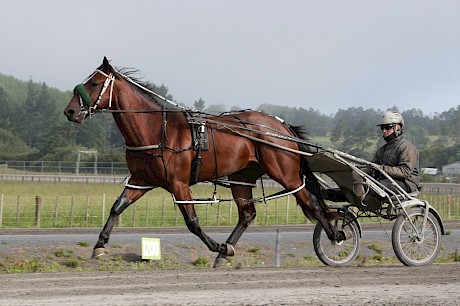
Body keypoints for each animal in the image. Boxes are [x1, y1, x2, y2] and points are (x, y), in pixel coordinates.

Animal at [64, 57, 344, 268]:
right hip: (241, 177)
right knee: (247, 214)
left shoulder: (179, 183)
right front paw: (99, 246)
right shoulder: (140, 180)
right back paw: (225, 252)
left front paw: (216, 245)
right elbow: (117, 207)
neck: (156, 131)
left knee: (311, 203)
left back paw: (335, 235)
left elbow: (192, 222)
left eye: (95, 82)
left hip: (285, 173)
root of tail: (280, 125)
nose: (70, 111)